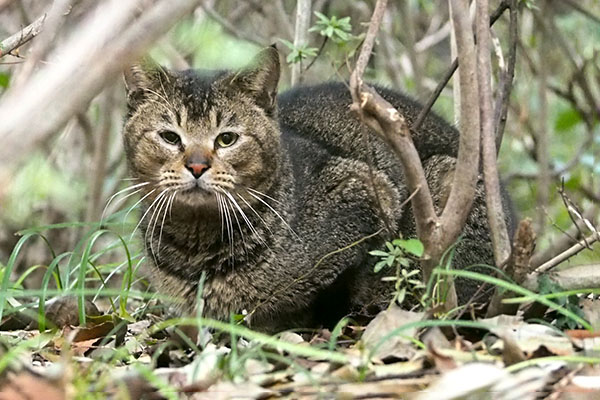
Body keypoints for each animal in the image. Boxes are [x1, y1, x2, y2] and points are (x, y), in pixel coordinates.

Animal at [120, 47, 510, 332]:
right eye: (170, 137)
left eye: (227, 138)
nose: (198, 166)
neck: (196, 248)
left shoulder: (367, 192)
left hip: (445, 182)